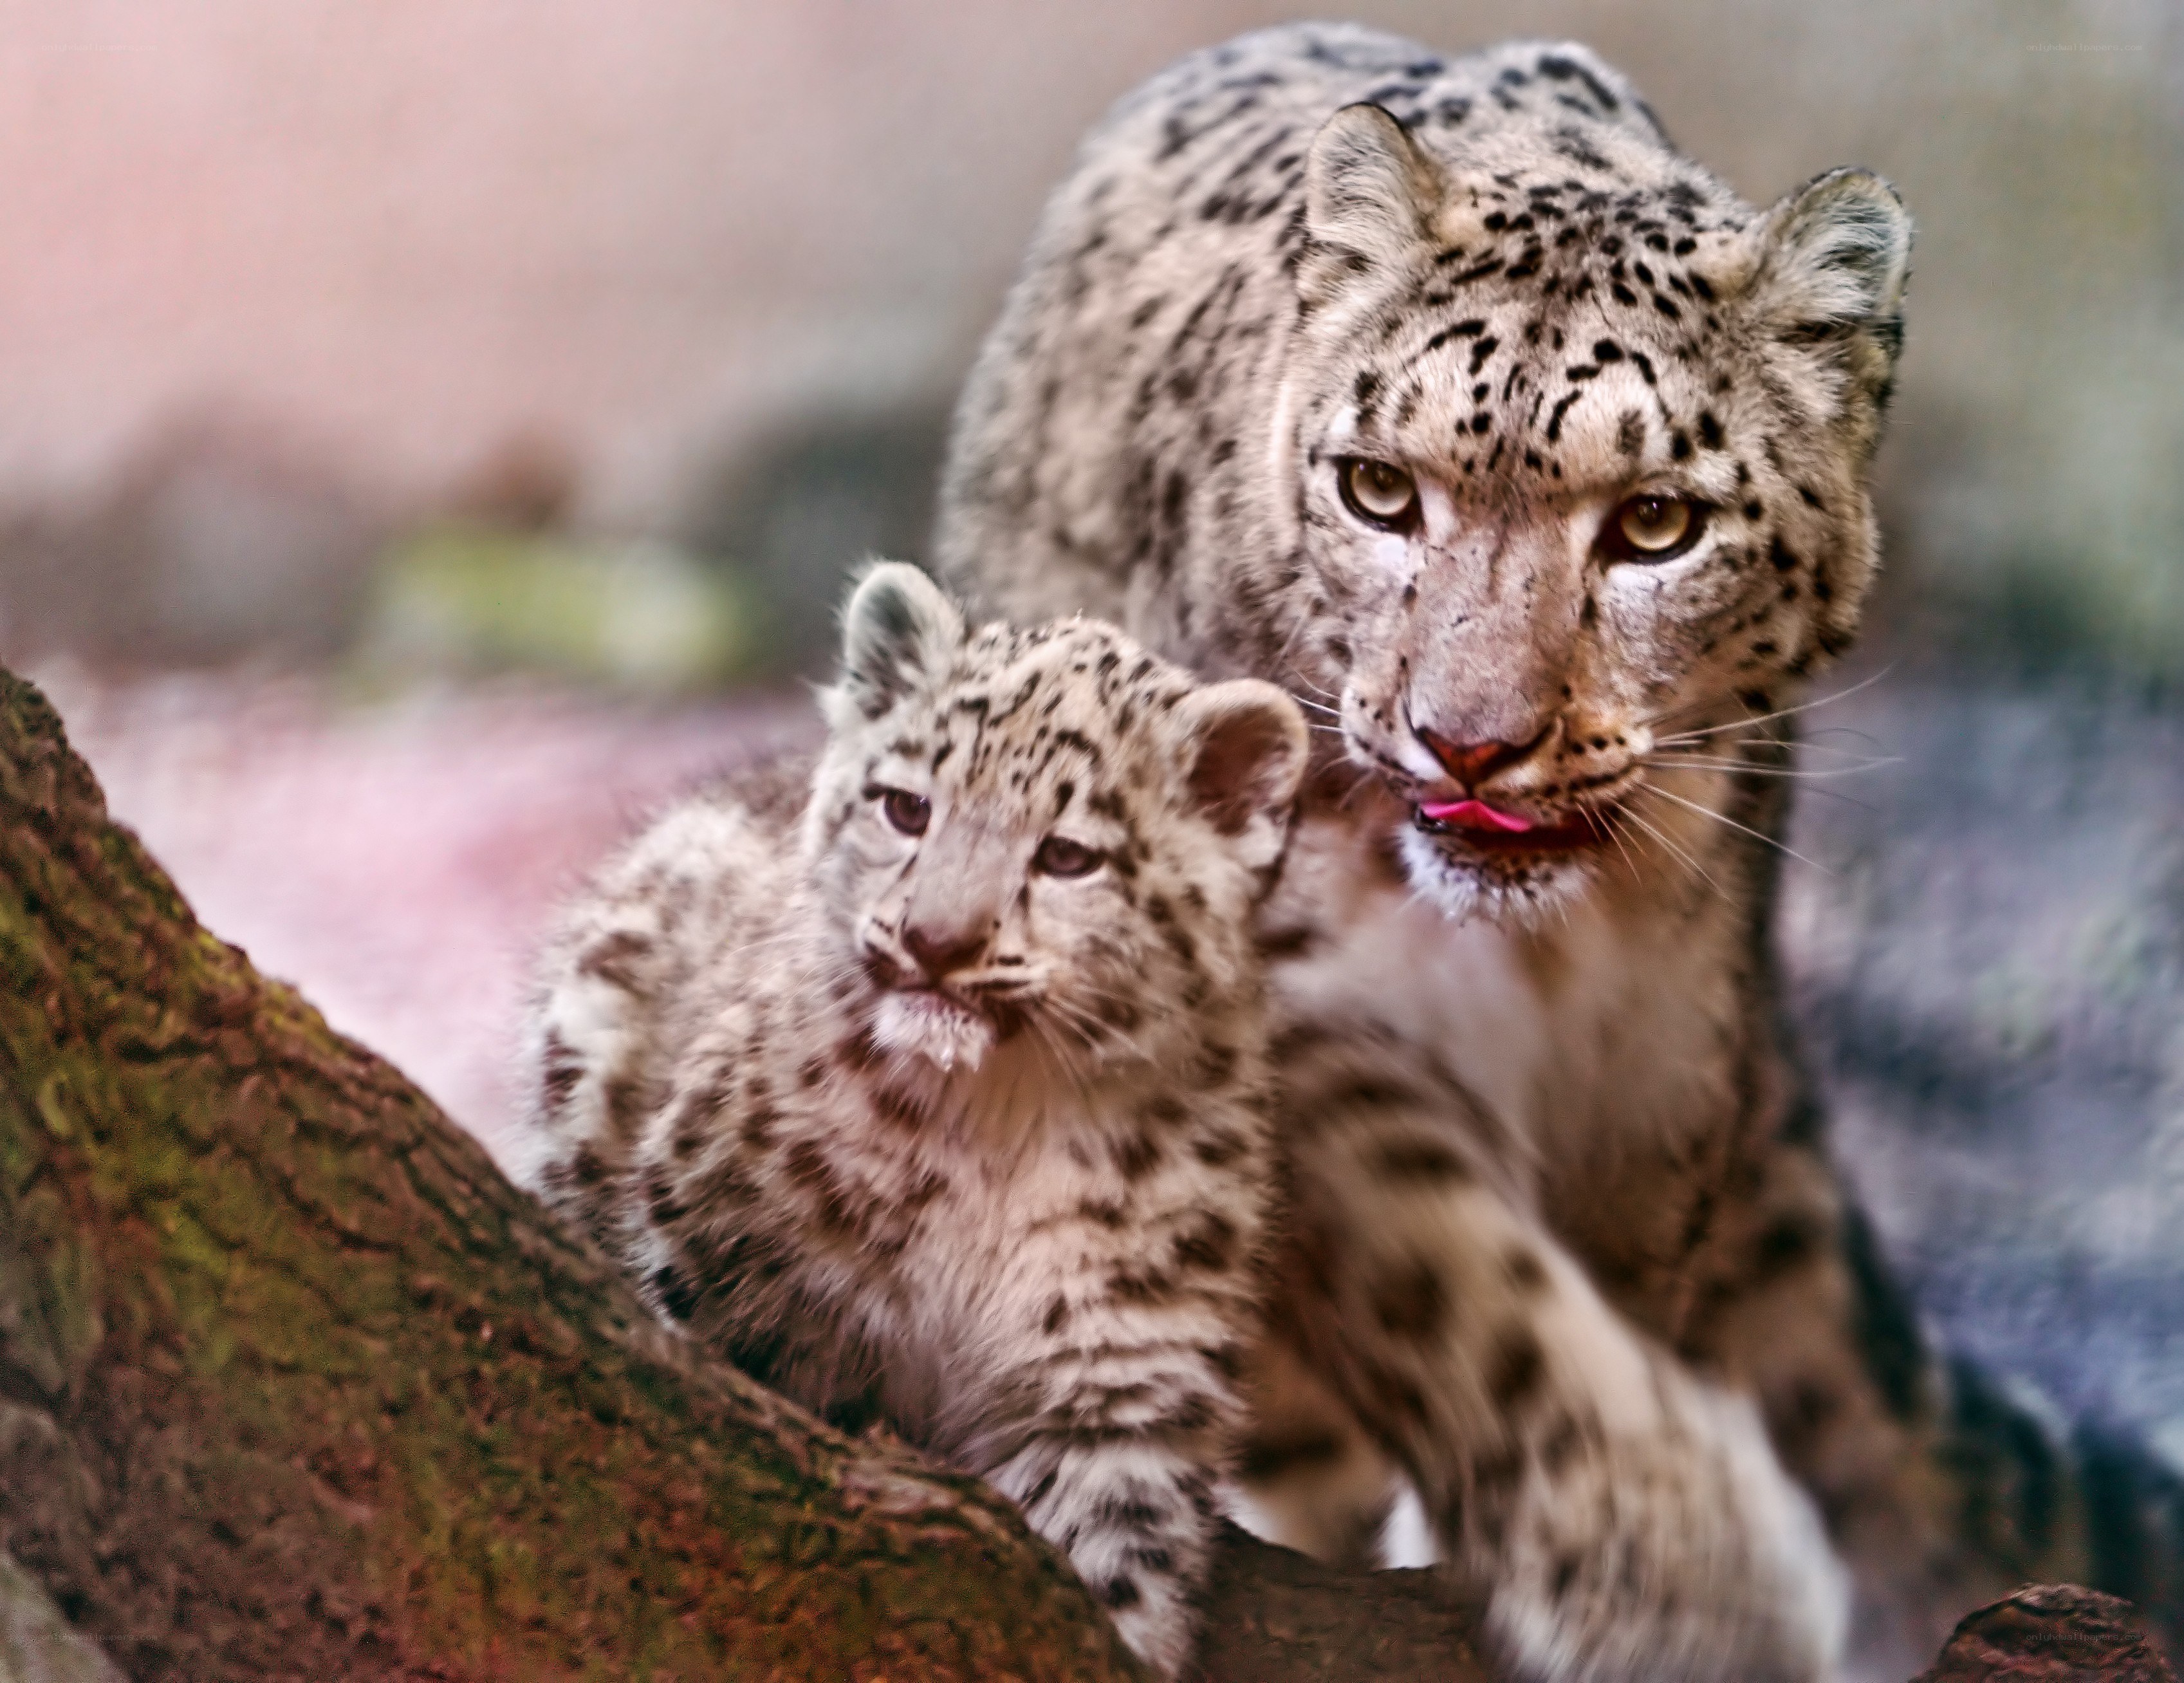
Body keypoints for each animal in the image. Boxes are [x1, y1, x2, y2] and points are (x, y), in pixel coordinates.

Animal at [505, 562, 1310, 1678]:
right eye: (906, 805)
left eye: (1069, 855)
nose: (936, 940)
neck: (999, 1122)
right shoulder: (726, 1262)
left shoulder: (1117, 1375)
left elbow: (1110, 1572)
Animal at [936, 21, 2177, 1680]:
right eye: (1376, 487)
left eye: (1653, 522)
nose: (1468, 740)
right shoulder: (1277, 990)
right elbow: (1457, 1268)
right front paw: (1669, 1563)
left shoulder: (1655, 1066)